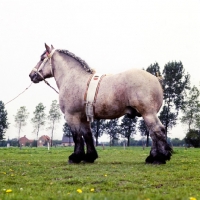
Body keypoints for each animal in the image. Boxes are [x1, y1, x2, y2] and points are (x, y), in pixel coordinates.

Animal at [28, 43, 171, 164]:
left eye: (42, 58)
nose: (31, 75)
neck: (73, 78)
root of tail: (156, 78)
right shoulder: (84, 118)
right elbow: (88, 136)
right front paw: (89, 157)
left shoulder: (71, 116)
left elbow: (77, 137)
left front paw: (75, 157)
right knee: (154, 133)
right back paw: (153, 157)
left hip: (148, 113)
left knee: (157, 131)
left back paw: (159, 158)